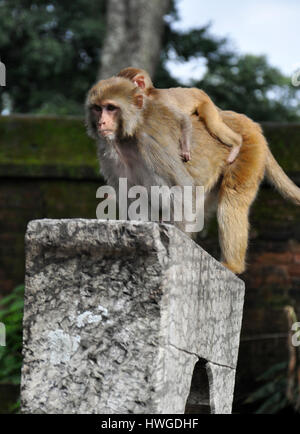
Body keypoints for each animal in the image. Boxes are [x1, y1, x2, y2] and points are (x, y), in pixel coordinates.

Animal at [85, 76, 300, 272]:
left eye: (111, 108)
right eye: (97, 108)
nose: (101, 122)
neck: (128, 135)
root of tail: (253, 125)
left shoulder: (152, 143)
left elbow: (180, 188)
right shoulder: (110, 156)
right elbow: (135, 198)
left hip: (249, 151)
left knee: (231, 200)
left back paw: (233, 266)